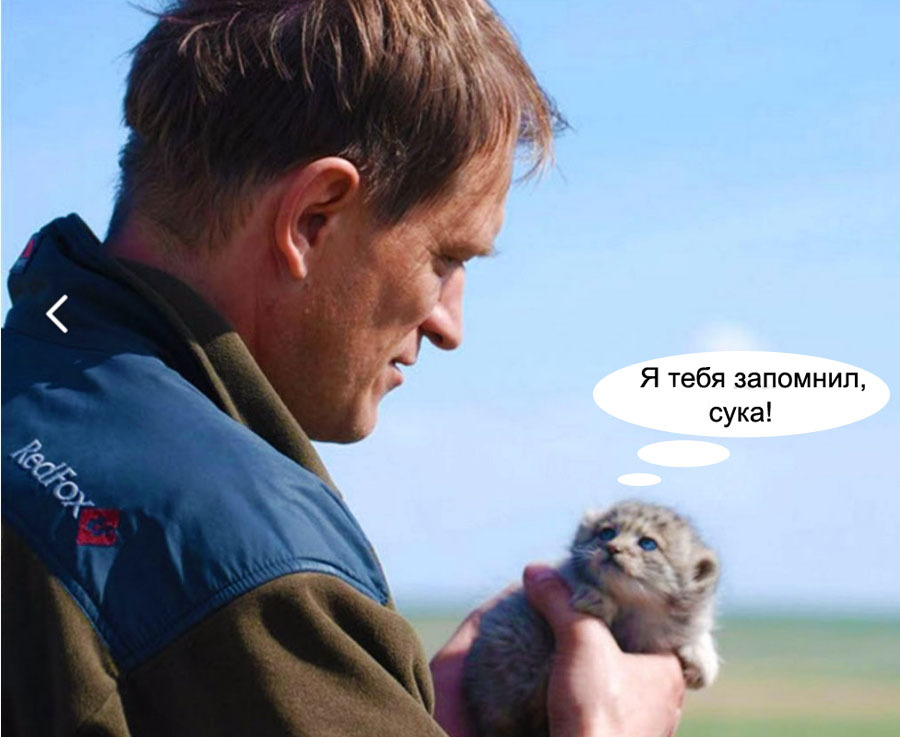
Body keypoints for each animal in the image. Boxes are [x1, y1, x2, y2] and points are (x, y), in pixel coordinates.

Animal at [460, 500, 720, 736]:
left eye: (648, 543)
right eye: (607, 533)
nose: (612, 548)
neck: (634, 609)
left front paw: (702, 655)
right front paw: (596, 597)